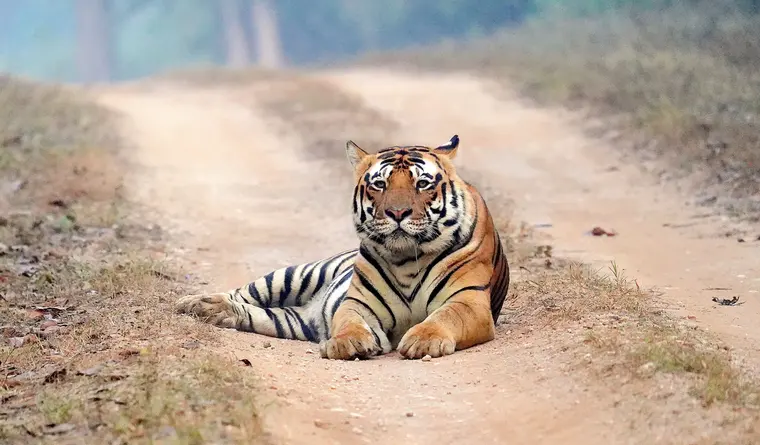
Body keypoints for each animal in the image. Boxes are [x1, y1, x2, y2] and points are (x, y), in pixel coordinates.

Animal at [176, 135, 510, 360]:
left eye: (423, 184)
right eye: (379, 184)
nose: (397, 213)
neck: (406, 260)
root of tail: (308, 310)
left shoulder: (469, 301)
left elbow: (444, 317)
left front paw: (422, 341)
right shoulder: (358, 302)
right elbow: (349, 321)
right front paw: (347, 343)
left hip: (292, 321)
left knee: (257, 313)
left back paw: (214, 312)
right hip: (294, 275)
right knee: (244, 292)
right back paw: (196, 303)